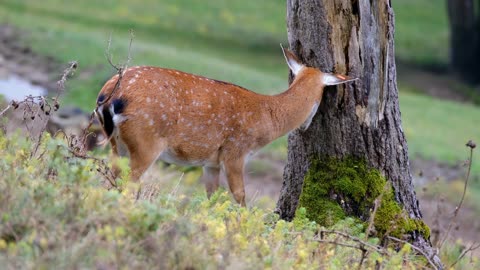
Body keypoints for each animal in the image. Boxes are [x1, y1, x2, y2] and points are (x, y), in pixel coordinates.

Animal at [94, 47, 356, 206]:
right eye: (321, 98)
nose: (304, 127)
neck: (266, 118)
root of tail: (108, 96)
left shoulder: (210, 162)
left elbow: (211, 196)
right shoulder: (235, 152)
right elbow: (240, 196)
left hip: (117, 145)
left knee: (110, 181)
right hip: (146, 141)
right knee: (127, 185)